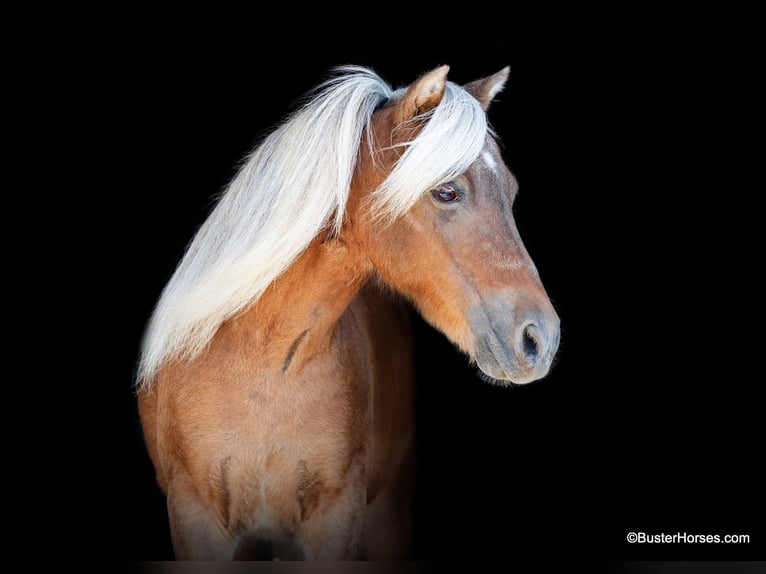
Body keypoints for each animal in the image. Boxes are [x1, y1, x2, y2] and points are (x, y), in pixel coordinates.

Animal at [136, 64, 560, 564]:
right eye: (446, 191)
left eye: (511, 192)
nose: (539, 338)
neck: (265, 364)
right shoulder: (195, 517)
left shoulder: (337, 517)